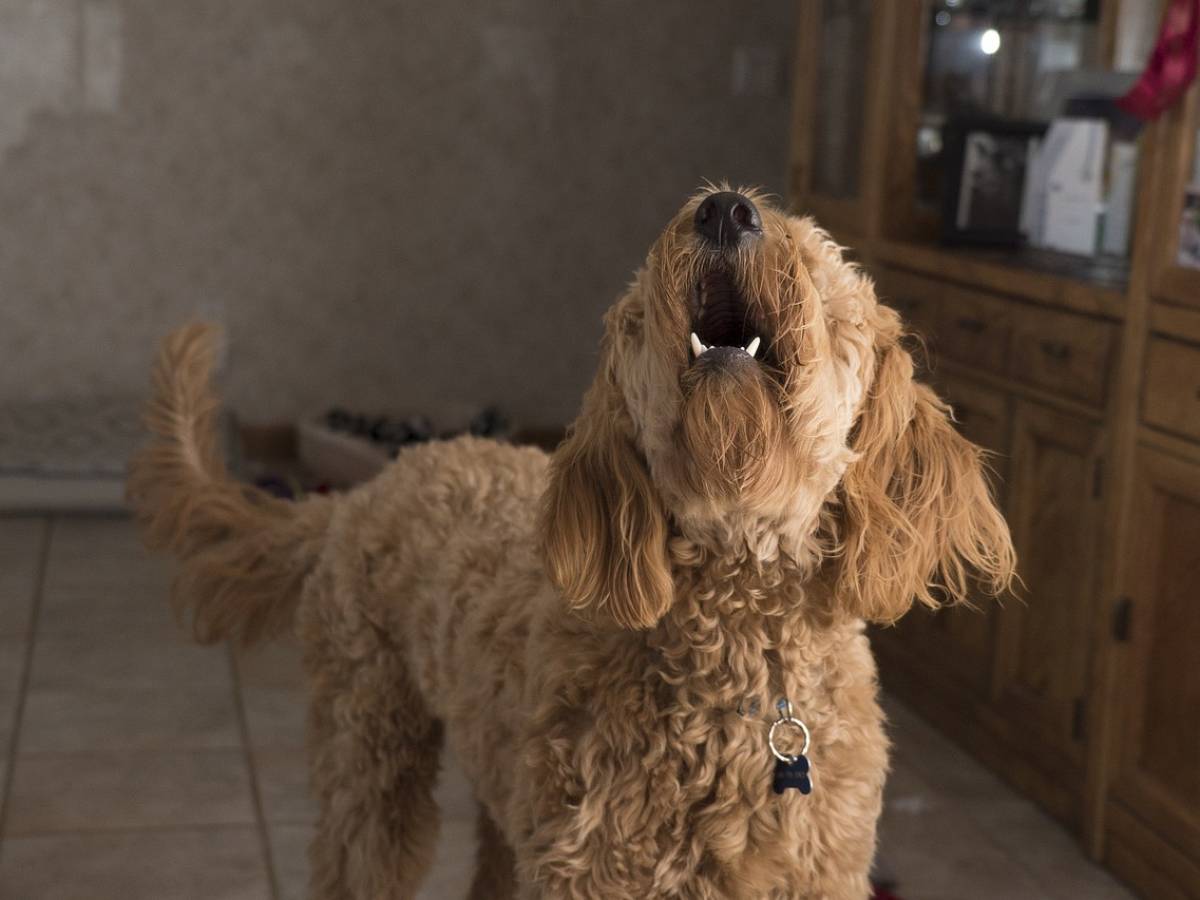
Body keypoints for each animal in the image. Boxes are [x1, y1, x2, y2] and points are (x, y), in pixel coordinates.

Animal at [129, 187, 1012, 897]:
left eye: (818, 261)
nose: (726, 208)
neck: (736, 652)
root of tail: (367, 490)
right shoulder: (591, 869)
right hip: (370, 752)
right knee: (358, 856)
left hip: (501, 785)